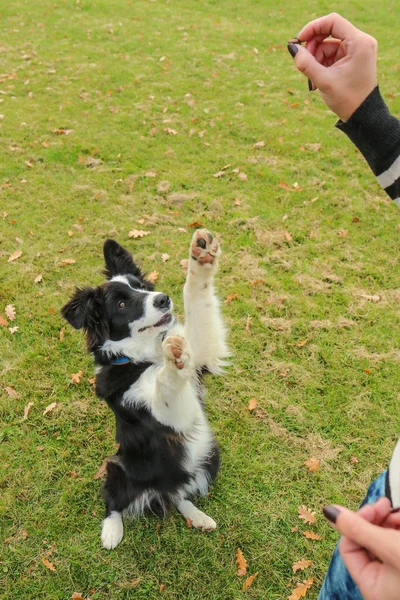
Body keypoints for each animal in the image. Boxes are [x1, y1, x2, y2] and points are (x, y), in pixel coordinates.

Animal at [61, 230, 230, 548]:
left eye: (140, 287)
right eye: (122, 305)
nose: (163, 299)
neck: (144, 357)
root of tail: (162, 488)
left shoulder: (200, 359)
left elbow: (196, 302)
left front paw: (201, 259)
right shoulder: (165, 414)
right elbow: (165, 382)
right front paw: (172, 358)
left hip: (209, 456)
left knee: (180, 496)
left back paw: (198, 516)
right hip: (116, 468)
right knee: (113, 501)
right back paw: (111, 532)